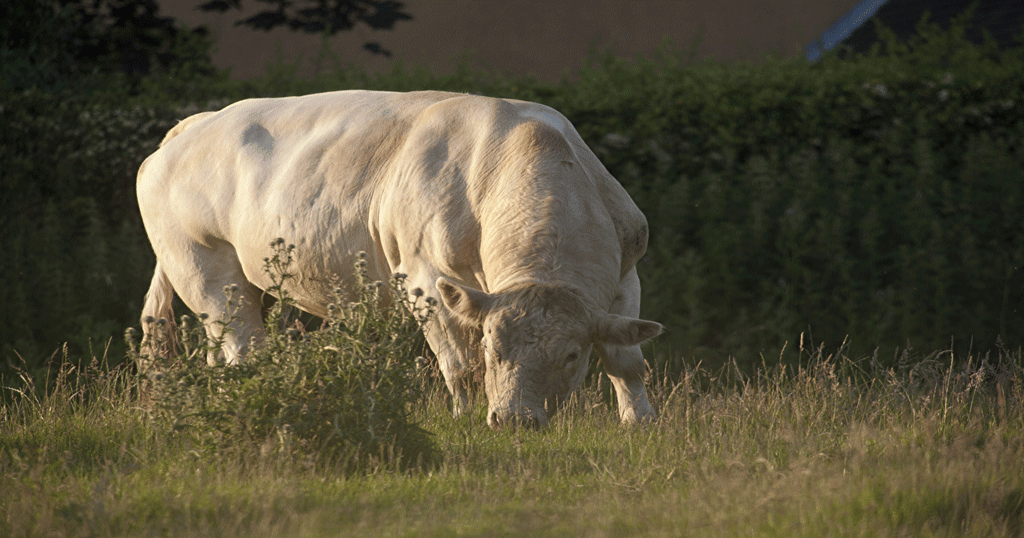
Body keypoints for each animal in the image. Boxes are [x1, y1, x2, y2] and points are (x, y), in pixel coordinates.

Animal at [136, 90, 662, 428]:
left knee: (220, 353)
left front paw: (640, 423)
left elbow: (627, 359)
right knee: (245, 350)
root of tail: (195, 124)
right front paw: (465, 420)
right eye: (493, 346)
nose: (515, 420)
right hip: (202, 266)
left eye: (572, 355)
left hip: (245, 284)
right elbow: (460, 365)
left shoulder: (625, 277)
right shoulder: (426, 278)